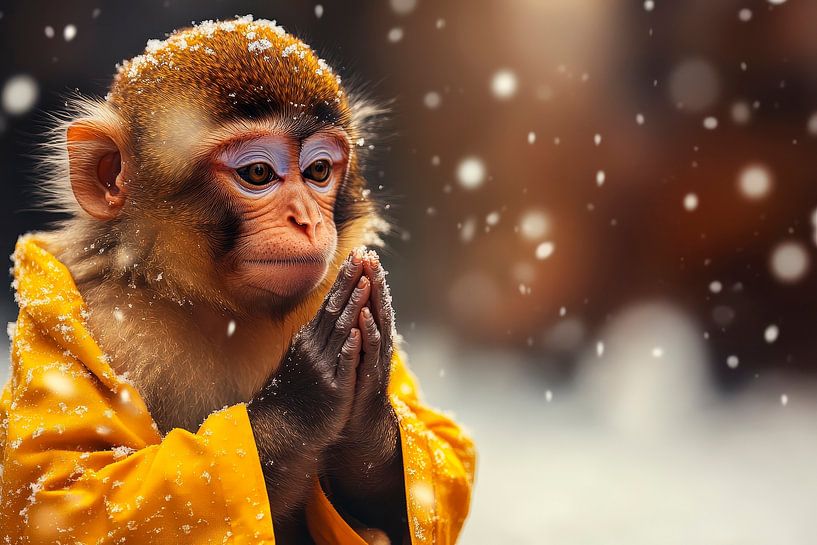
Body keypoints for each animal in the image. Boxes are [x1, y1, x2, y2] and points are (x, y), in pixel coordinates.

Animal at [0, 16, 474, 545]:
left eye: (319, 171)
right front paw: (303, 391)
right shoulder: (90, 315)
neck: (209, 305)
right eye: (259, 173)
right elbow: (66, 494)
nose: (306, 219)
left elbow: (445, 444)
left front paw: (368, 405)